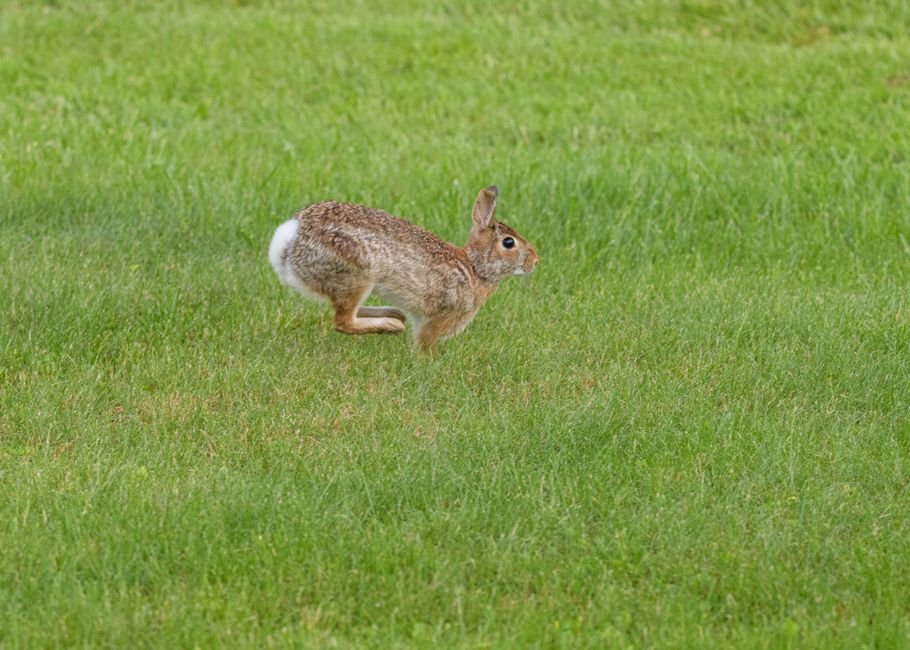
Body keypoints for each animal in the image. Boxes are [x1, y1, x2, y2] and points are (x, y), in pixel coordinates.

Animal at [269, 185, 538, 351]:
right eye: (509, 243)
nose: (535, 261)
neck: (474, 267)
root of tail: (291, 239)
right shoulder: (437, 319)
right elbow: (424, 343)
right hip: (357, 273)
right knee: (343, 321)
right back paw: (391, 325)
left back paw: (393, 315)